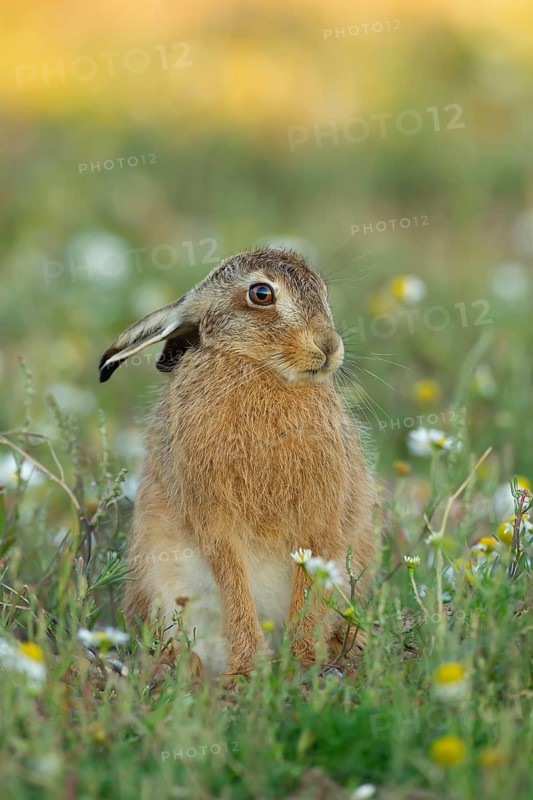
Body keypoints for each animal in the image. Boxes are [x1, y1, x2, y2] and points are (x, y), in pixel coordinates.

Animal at [99, 247, 378, 680]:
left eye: (322, 290)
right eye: (261, 294)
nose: (330, 347)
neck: (256, 366)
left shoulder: (322, 512)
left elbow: (311, 577)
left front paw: (301, 659)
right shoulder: (213, 516)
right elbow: (233, 582)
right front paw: (250, 668)